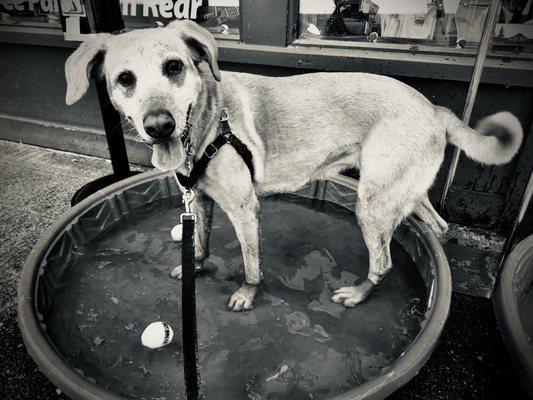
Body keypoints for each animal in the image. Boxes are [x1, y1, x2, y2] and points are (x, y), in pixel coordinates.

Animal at [64, 18, 520, 312]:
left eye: (174, 67)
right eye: (125, 79)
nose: (159, 126)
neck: (210, 122)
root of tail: (434, 108)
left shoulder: (244, 209)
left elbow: (251, 262)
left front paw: (247, 294)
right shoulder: (200, 201)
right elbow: (200, 242)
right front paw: (195, 265)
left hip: (372, 205)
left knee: (384, 262)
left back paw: (358, 294)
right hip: (400, 190)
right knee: (437, 224)